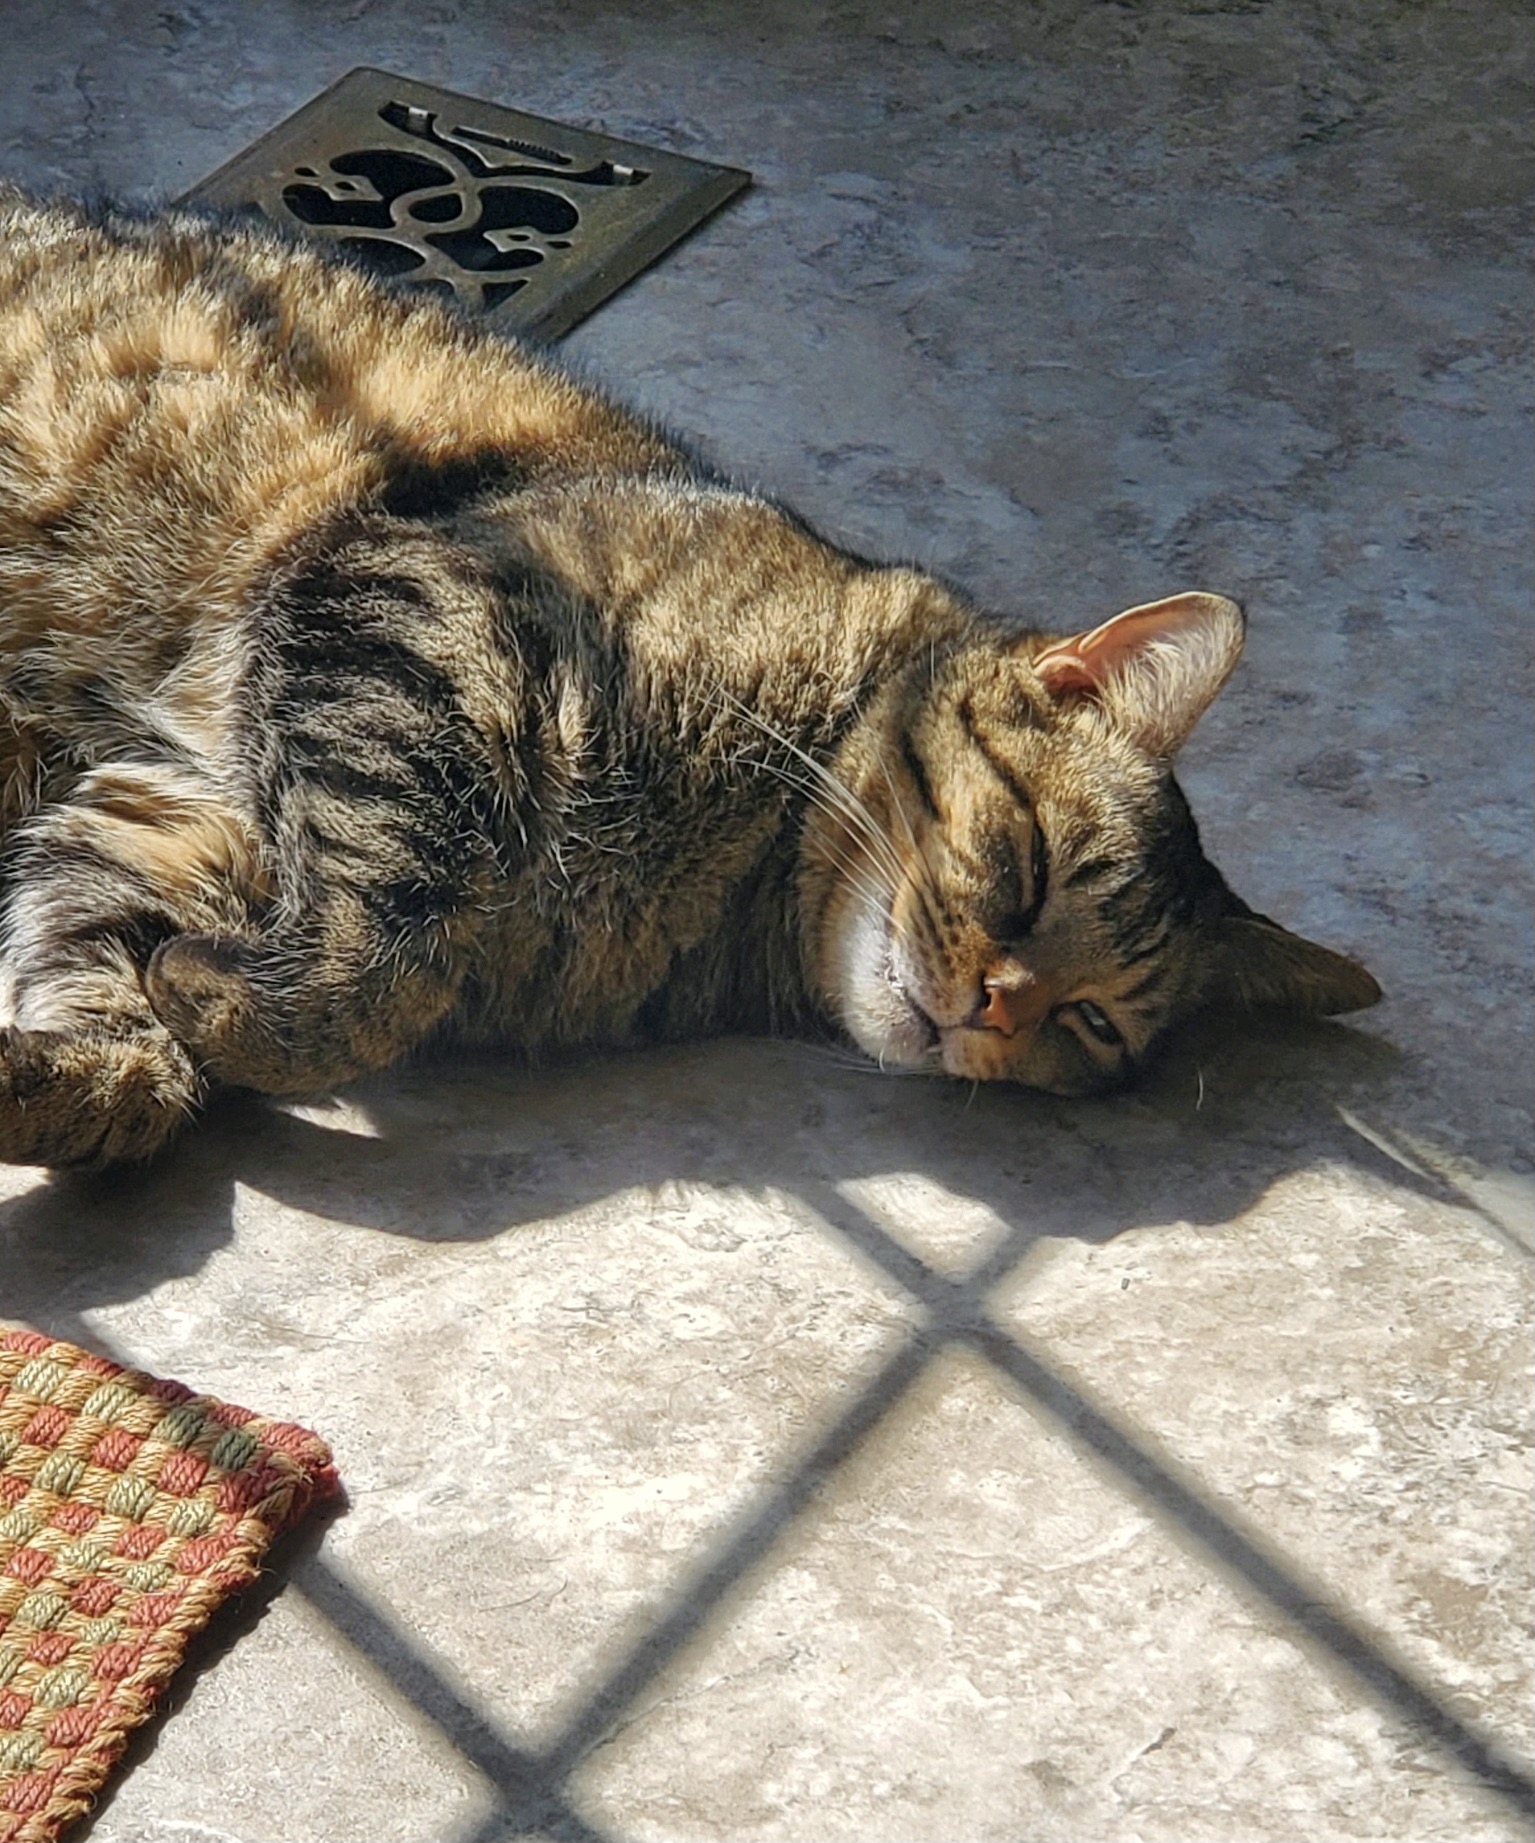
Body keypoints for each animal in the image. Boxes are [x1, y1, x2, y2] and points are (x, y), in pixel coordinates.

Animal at [0, 187, 1379, 1168]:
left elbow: (139, 1023)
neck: (722, 885)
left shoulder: (176, 810)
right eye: (1024, 866)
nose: (995, 1008)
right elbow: (387, 947)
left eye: (1089, 1024)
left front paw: (102, 1058)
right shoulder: (414, 603)